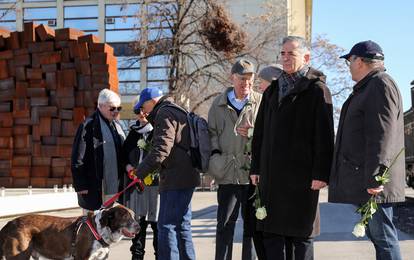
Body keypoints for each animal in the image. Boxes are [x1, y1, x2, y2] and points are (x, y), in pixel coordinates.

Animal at [0, 205, 139, 260]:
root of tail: (10, 223)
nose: (139, 227)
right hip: (19, 255)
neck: (99, 230)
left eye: (133, 216)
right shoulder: (82, 257)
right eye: (125, 217)